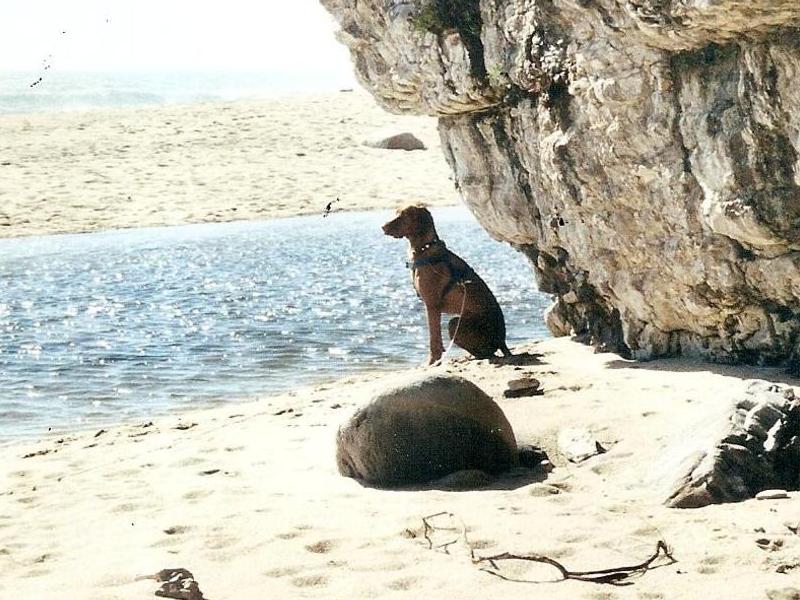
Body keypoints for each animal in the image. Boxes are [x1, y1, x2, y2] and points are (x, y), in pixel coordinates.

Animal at [382, 206, 512, 366]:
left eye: (403, 215)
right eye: (396, 213)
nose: (383, 227)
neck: (425, 249)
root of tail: (502, 341)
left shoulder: (432, 305)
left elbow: (434, 339)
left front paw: (432, 361)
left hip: (455, 323)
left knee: (488, 353)